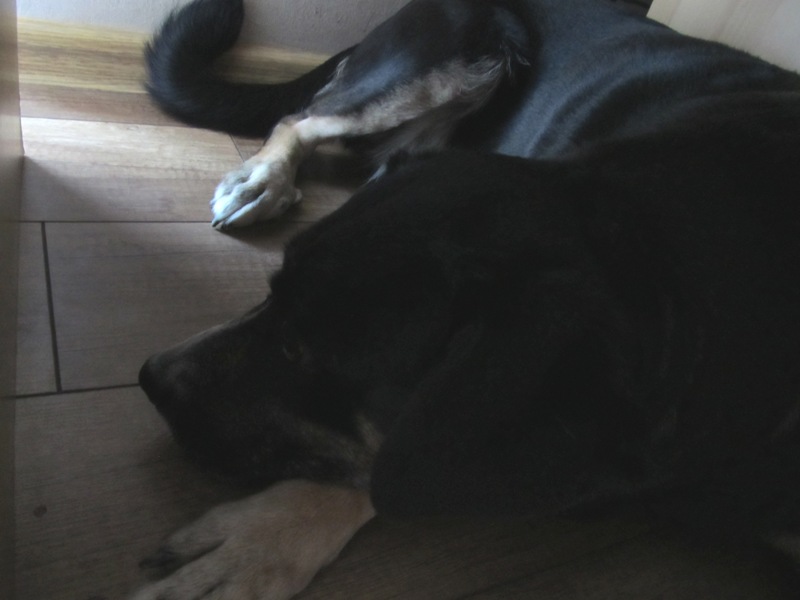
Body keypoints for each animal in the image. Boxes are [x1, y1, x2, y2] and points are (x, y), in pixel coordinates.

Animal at [132, 0, 800, 598]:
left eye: (300, 348)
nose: (147, 376)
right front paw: (260, 540)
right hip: (451, 58)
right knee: (302, 118)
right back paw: (262, 180)